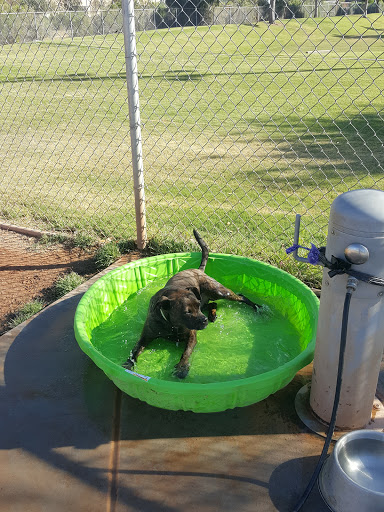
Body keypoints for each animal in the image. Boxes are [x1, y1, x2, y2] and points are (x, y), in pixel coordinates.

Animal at [123, 230, 260, 378]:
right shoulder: (146, 336)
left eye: (196, 306)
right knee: (213, 304)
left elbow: (186, 352)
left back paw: (258, 308)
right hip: (208, 299)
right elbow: (135, 350)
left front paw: (182, 367)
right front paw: (129, 364)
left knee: (240, 297)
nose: (204, 320)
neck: (171, 324)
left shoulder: (191, 336)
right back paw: (212, 315)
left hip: (219, 292)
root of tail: (198, 270)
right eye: (187, 312)